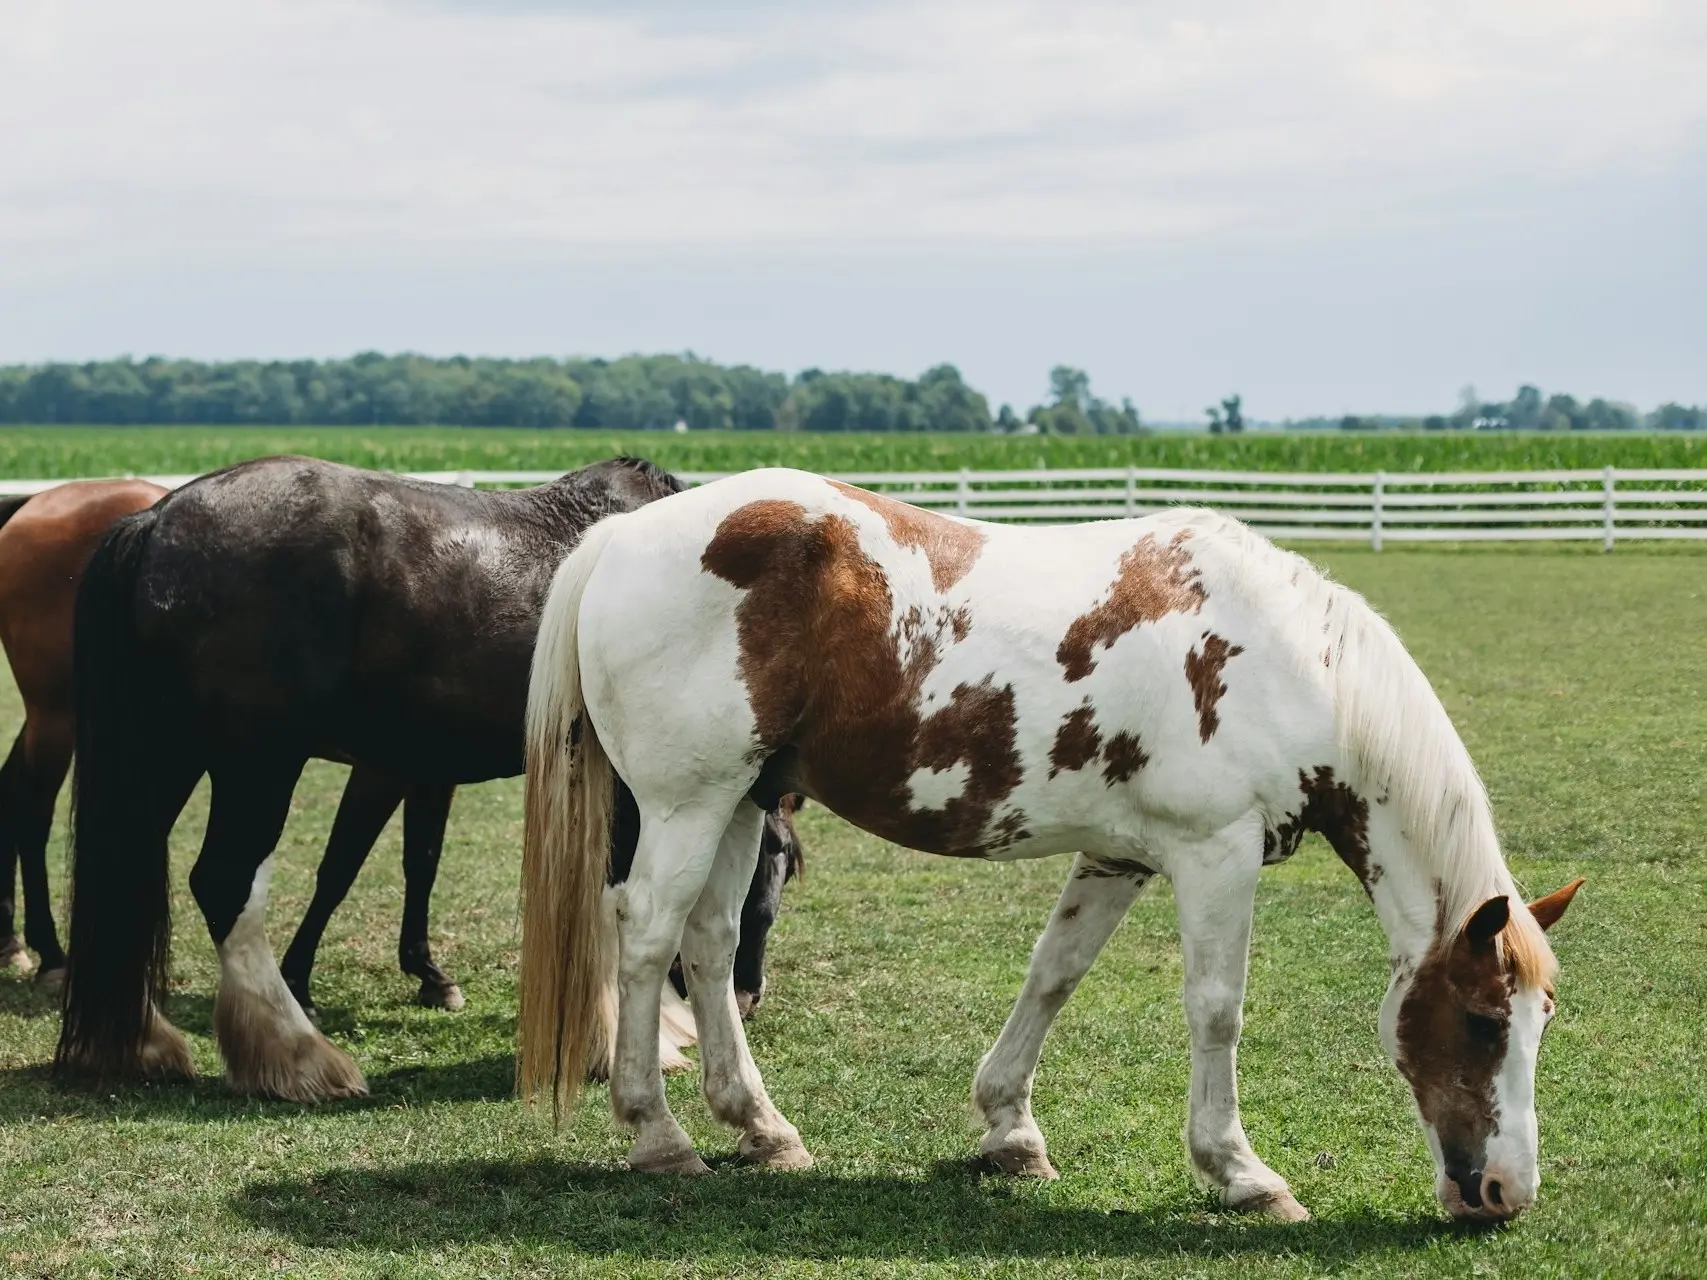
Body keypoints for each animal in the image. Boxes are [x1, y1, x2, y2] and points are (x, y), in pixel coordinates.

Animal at [48, 457, 798, 1105]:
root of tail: (158, 519)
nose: (748, 997)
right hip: (258, 762)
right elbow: (617, 898)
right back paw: (299, 1058)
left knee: (129, 866)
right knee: (225, 883)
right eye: (774, 868)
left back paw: (141, 1045)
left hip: (168, 755)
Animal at [518, 467, 1584, 1221]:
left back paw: (761, 1129)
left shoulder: (1120, 857)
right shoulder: (1215, 854)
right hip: (686, 803)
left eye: (1541, 1018)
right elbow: (1216, 1010)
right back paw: (657, 1137)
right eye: (1483, 1021)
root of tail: (617, 538)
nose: (1504, 1196)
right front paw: (1240, 1171)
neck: (1286, 661)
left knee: (706, 946)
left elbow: (1053, 974)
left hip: (742, 801)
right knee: (647, 936)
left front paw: (1010, 1132)